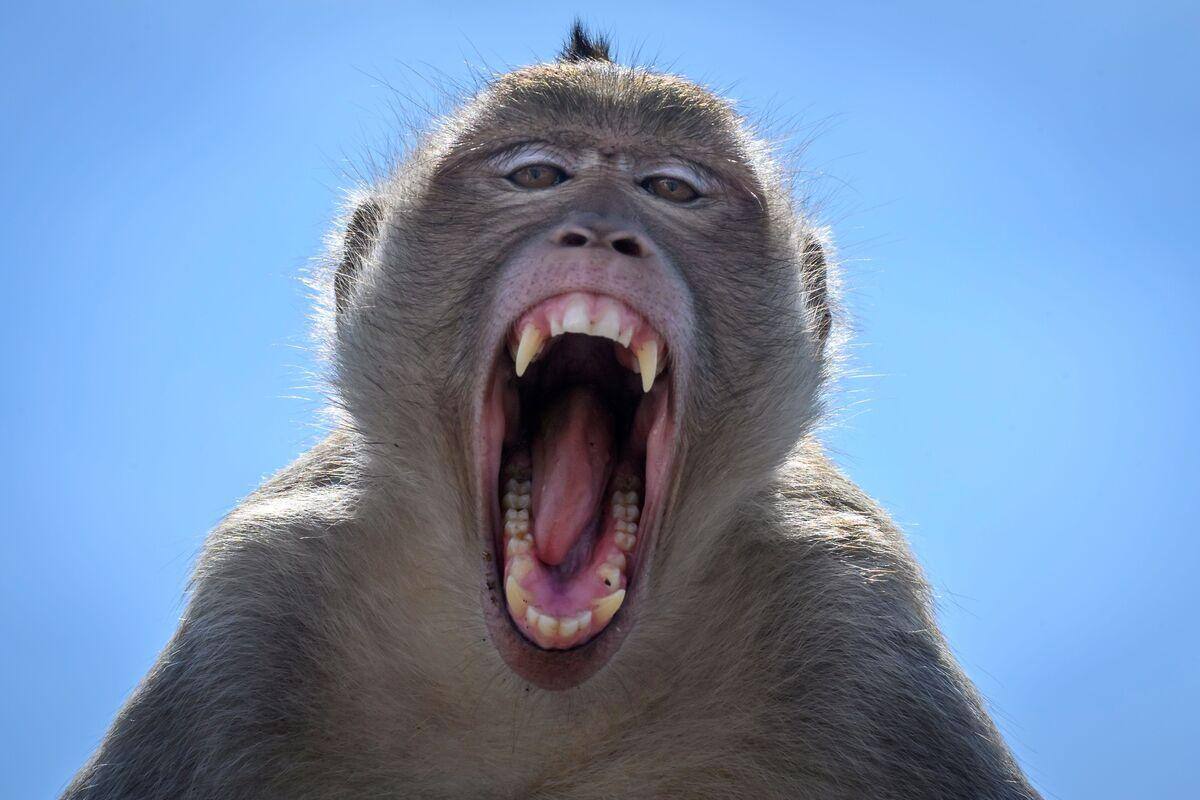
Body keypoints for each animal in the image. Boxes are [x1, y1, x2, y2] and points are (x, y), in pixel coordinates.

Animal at [62, 25, 1040, 800]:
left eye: (671, 189)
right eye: (537, 174)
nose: (603, 229)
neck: (545, 694)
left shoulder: (858, 621)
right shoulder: (257, 608)